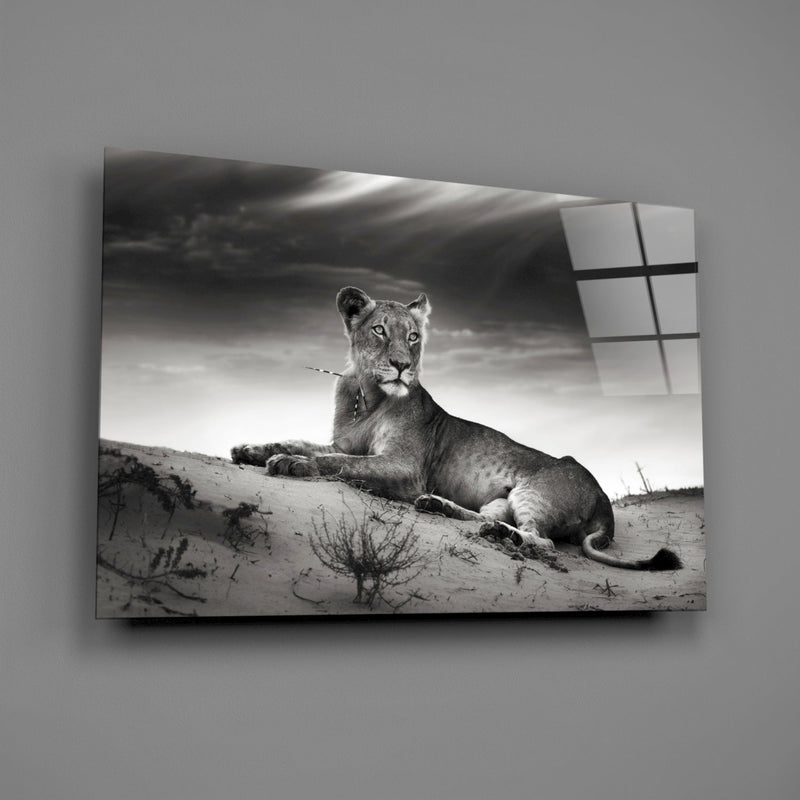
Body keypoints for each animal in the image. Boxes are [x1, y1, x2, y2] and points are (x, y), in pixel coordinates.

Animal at [232, 286, 681, 571]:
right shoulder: (344, 443)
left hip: (533, 493)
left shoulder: (405, 468)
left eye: (414, 337)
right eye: (379, 330)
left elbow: (339, 464)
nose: (402, 366)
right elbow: (305, 443)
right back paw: (441, 507)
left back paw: (500, 535)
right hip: (501, 499)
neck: (368, 396)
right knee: (484, 517)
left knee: (543, 541)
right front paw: (251, 450)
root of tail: (605, 500)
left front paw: (290, 464)